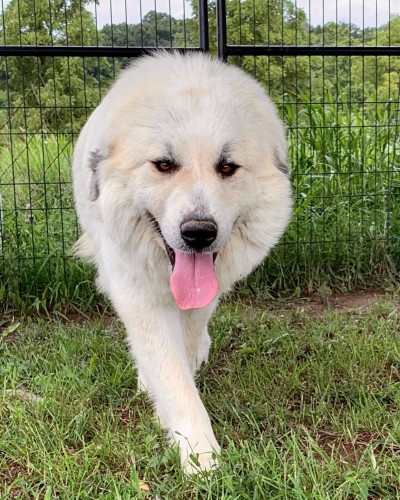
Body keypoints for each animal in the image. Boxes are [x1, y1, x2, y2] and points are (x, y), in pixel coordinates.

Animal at [72, 51, 292, 473]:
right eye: (164, 164)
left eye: (227, 167)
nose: (199, 233)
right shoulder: (140, 296)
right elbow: (170, 373)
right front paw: (199, 452)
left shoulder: (201, 297)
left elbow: (187, 344)